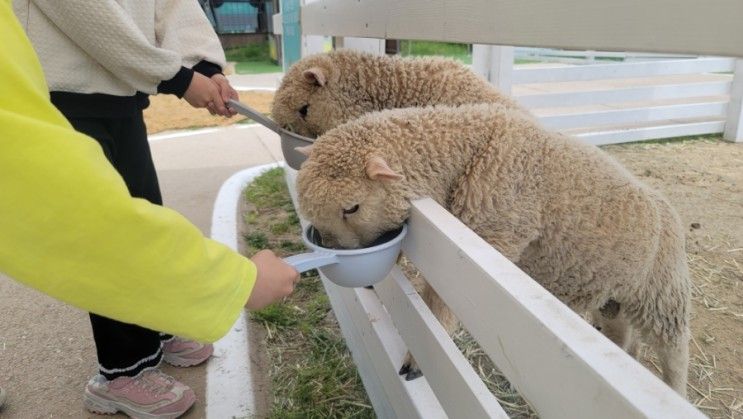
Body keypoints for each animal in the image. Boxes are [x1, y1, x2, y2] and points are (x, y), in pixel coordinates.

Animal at [294, 102, 692, 398]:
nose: (339, 257)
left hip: (663, 297)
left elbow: (440, 301)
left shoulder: (490, 238)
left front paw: (417, 360)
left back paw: (675, 394)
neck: (471, 147)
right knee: (623, 337)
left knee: (675, 352)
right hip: (613, 297)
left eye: (351, 208)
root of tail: (666, 208)